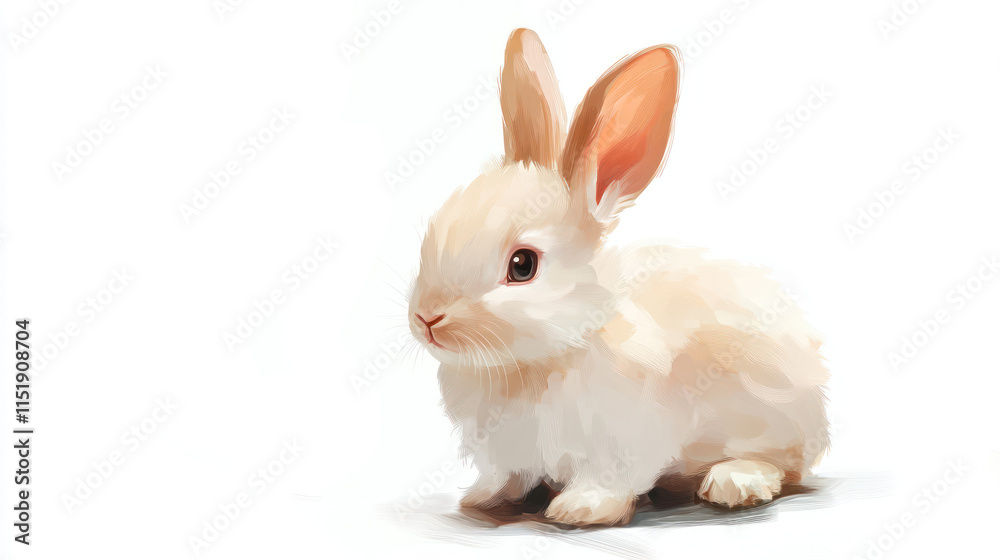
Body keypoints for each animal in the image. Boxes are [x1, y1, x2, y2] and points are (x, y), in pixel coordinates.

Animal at [407, 28, 829, 526]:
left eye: (522, 265)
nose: (427, 318)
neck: (541, 359)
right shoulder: (505, 456)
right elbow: (505, 476)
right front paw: (483, 498)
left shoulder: (626, 438)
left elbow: (609, 478)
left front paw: (581, 509)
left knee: (782, 462)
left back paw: (735, 482)